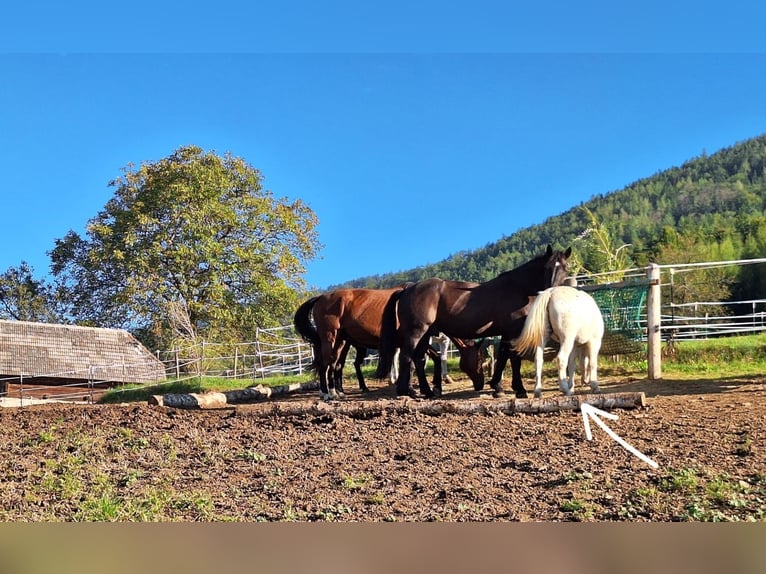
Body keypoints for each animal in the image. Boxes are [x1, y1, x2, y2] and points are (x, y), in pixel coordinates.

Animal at [294, 286, 486, 400]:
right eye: (479, 359)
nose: (480, 384)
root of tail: (321, 297)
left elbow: (429, 359)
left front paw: (431, 387)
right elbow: (414, 363)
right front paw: (414, 389)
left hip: (340, 342)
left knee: (334, 364)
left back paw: (337, 391)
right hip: (331, 338)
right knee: (326, 365)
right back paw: (327, 394)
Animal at [376, 246, 572, 400]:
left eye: (565, 268)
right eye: (546, 268)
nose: (552, 289)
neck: (519, 288)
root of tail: (408, 288)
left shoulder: (506, 332)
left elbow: (503, 356)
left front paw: (497, 386)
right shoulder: (513, 330)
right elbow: (514, 358)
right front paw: (519, 389)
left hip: (425, 334)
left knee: (418, 359)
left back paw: (427, 391)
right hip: (416, 332)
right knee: (406, 357)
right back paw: (405, 391)